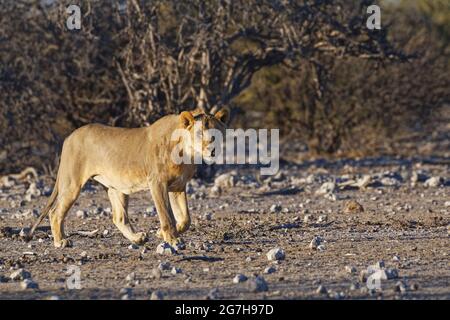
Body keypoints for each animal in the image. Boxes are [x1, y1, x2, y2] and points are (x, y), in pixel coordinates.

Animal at [25, 109, 229, 249]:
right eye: (199, 134)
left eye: (217, 134)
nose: (213, 151)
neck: (186, 154)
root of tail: (69, 137)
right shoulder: (157, 183)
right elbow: (166, 216)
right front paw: (172, 240)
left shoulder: (178, 186)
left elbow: (185, 219)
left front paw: (160, 233)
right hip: (72, 184)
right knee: (55, 212)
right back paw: (61, 241)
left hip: (116, 188)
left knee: (119, 217)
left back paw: (138, 238)